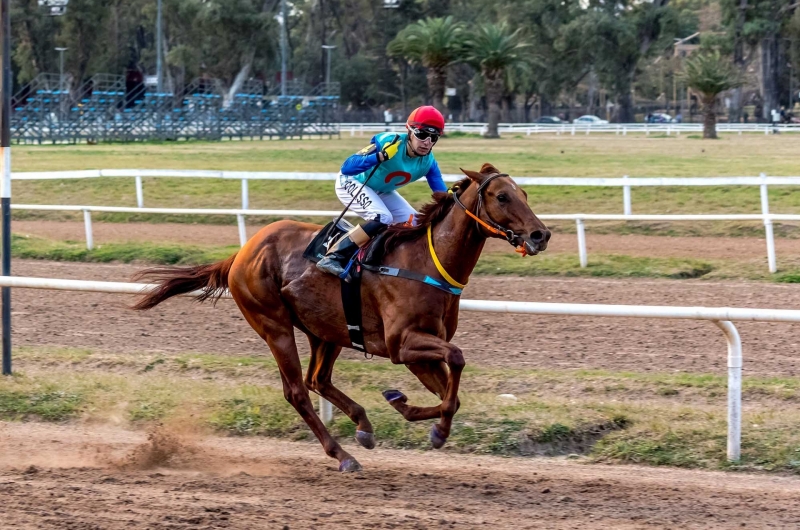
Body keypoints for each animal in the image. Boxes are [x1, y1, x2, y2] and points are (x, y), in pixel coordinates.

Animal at [134, 162, 552, 470]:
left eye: (525, 194)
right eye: (502, 195)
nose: (540, 235)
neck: (425, 262)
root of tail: (241, 253)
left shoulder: (420, 351)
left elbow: (452, 392)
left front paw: (410, 409)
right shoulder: (403, 344)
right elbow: (457, 359)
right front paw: (425, 422)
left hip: (326, 329)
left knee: (317, 379)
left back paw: (363, 426)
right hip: (274, 325)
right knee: (297, 391)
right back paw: (343, 455)